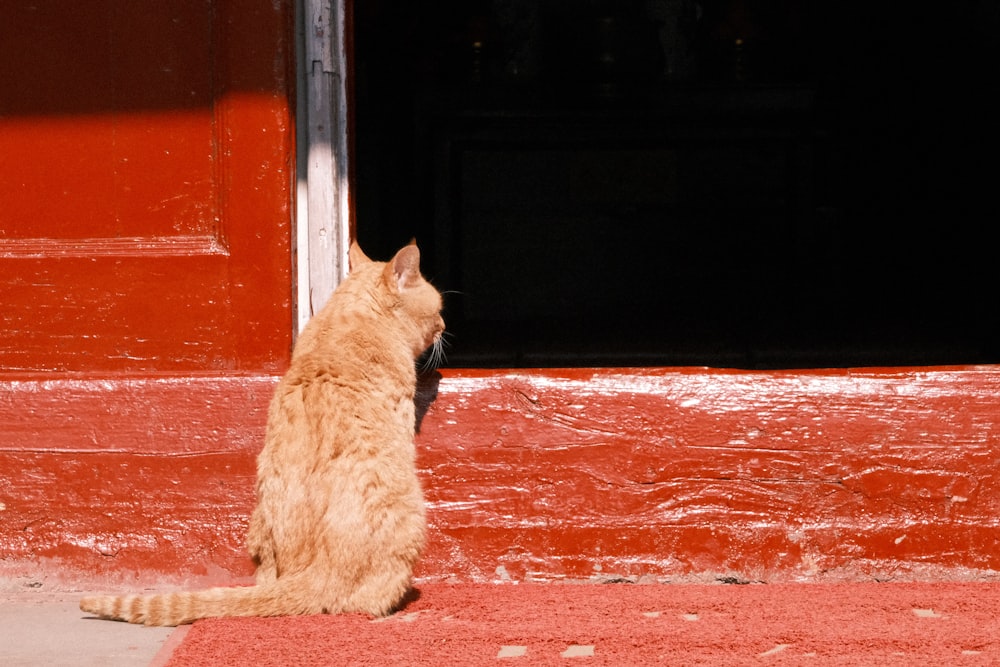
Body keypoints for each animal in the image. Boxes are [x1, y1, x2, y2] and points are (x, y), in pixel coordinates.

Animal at [82, 244, 446, 628]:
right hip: (410, 518)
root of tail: (310, 574)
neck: (352, 313)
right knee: (361, 607)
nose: (444, 327)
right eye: (438, 311)